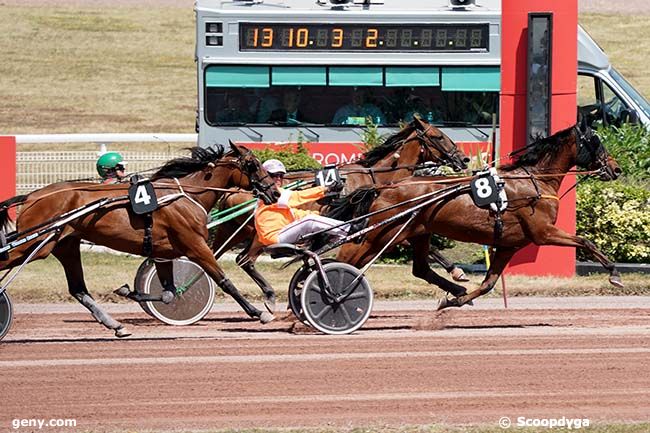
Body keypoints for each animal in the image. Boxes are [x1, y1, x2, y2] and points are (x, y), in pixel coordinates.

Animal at [0, 143, 278, 336]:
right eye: (252, 164)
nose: (274, 192)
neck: (186, 195)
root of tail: (31, 196)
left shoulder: (164, 253)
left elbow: (168, 293)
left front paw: (129, 292)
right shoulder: (195, 246)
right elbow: (224, 281)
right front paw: (259, 312)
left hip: (65, 245)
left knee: (78, 289)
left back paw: (116, 325)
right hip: (37, 244)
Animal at [210, 118, 468, 314]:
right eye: (438, 136)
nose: (463, 159)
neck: (376, 177)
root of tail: (236, 189)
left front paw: (455, 271)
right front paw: (457, 271)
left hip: (232, 231)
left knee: (217, 255)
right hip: (257, 235)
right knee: (245, 260)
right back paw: (269, 295)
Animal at [332, 122, 620, 308]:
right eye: (596, 142)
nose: (616, 169)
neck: (535, 180)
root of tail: (384, 186)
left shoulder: (508, 245)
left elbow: (488, 283)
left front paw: (454, 300)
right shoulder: (543, 232)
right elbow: (585, 241)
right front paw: (614, 273)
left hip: (413, 233)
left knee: (420, 268)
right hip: (377, 235)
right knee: (346, 261)